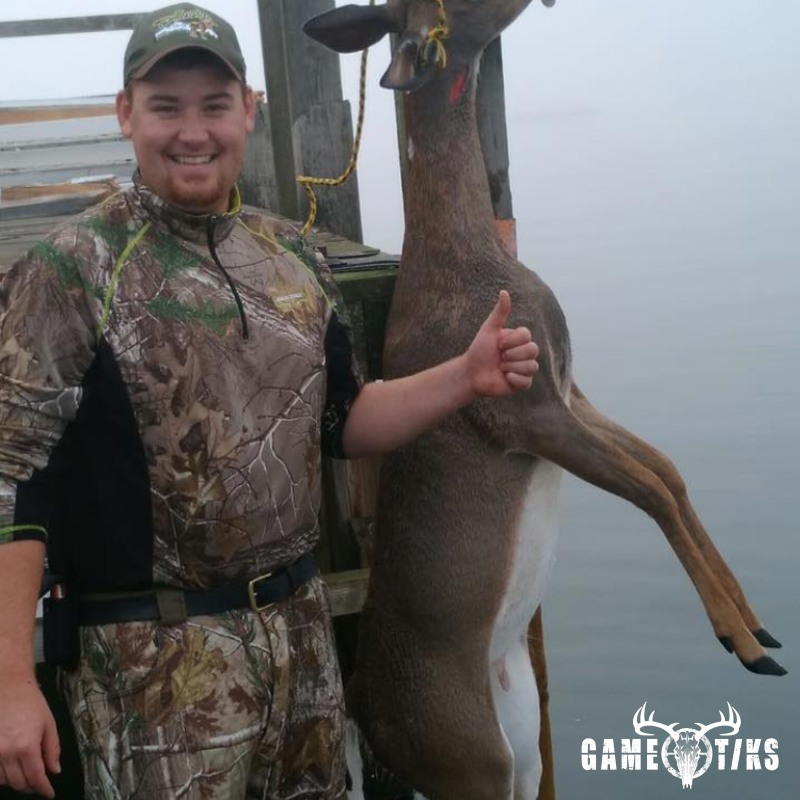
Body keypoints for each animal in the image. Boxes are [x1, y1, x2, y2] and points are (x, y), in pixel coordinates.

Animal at [304, 1, 786, 798]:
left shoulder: (567, 386)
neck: (471, 258)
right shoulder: (524, 412)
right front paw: (743, 642)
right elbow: (650, 488)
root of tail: (366, 721)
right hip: (469, 758)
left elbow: (669, 470)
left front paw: (757, 623)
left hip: (523, 746)